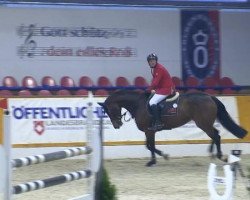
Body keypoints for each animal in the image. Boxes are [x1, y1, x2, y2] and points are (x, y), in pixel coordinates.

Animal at [98, 90, 247, 166]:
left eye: (109, 111)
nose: (117, 125)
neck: (138, 104)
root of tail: (209, 96)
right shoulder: (149, 131)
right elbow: (149, 145)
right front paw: (156, 159)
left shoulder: (149, 130)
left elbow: (150, 146)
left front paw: (159, 158)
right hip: (205, 123)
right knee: (215, 134)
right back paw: (212, 152)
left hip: (203, 123)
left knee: (216, 135)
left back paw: (220, 156)